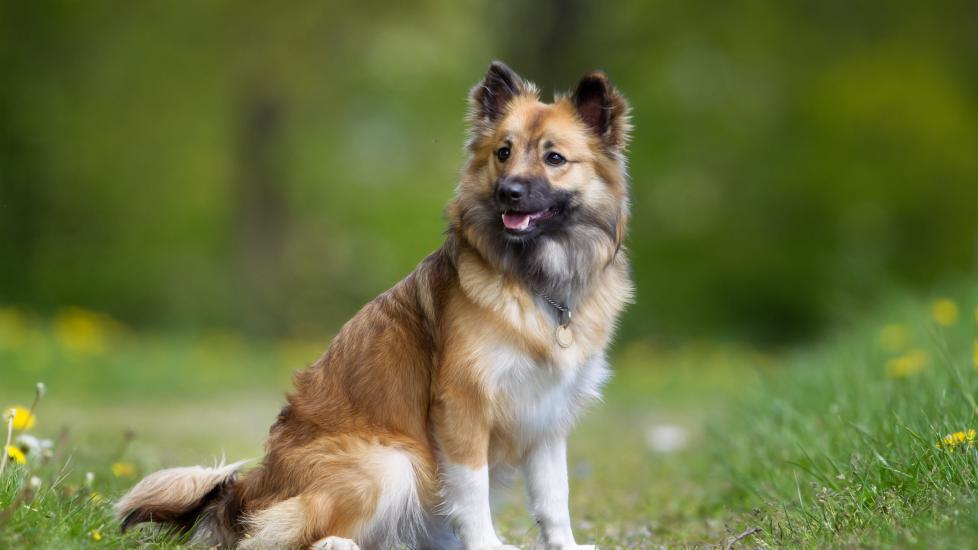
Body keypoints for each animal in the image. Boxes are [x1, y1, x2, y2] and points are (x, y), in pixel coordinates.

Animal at [118, 61, 632, 550]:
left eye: (554, 157)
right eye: (503, 153)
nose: (509, 192)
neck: (534, 282)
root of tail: (244, 495)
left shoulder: (546, 417)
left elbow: (554, 496)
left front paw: (565, 544)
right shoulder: (461, 407)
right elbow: (472, 489)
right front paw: (487, 544)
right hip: (390, 462)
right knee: (271, 535)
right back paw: (334, 542)